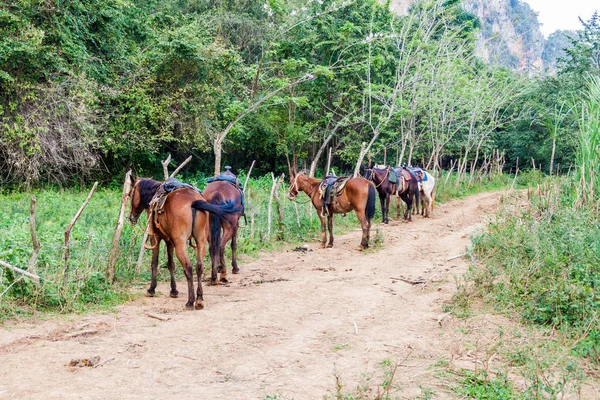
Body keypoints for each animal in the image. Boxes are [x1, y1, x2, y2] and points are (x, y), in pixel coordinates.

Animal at [129, 177, 241, 310]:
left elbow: (155, 263)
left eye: (130, 194)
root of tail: (193, 202)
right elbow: (170, 264)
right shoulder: (170, 240)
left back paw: (190, 301)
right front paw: (174, 290)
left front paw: (151, 289)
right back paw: (199, 299)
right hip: (201, 241)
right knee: (199, 266)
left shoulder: (156, 238)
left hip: (181, 244)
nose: (131, 217)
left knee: (188, 267)